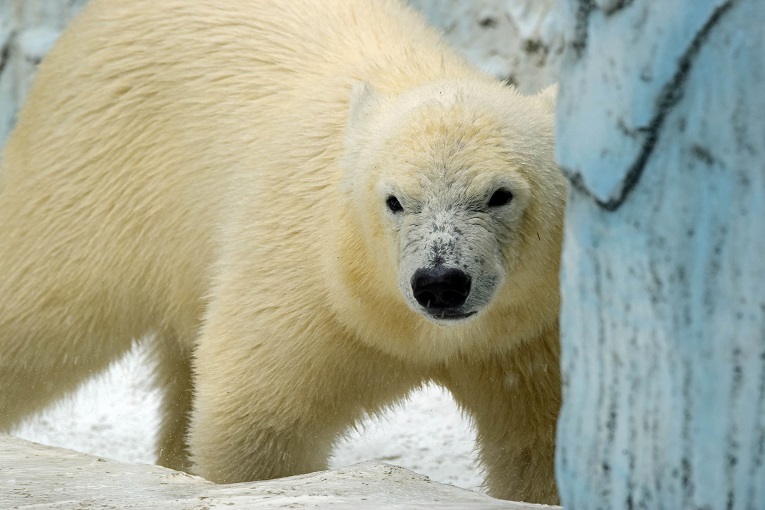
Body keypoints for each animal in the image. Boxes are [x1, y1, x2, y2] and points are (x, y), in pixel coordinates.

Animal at [0, 0, 560, 504]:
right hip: (96, 165)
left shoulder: (532, 331)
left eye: (500, 194)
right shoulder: (312, 282)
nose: (440, 283)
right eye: (395, 201)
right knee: (41, 299)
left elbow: (540, 442)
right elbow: (256, 417)